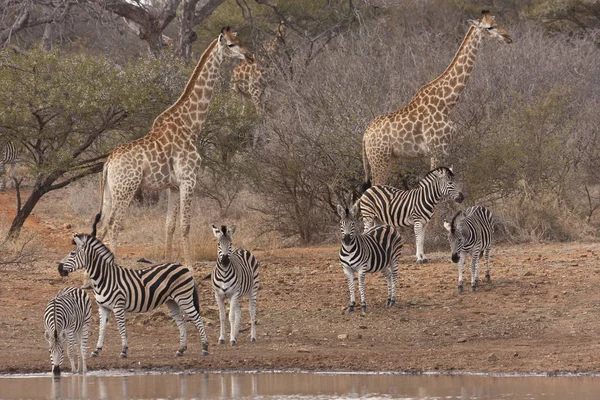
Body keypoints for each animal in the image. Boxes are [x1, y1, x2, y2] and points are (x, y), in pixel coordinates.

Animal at [56, 233, 210, 358]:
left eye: (73, 254)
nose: (59, 268)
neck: (103, 278)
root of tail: (185, 268)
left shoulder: (118, 306)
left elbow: (121, 328)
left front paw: (124, 350)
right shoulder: (103, 307)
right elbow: (102, 329)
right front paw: (96, 350)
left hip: (184, 298)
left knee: (197, 319)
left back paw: (205, 348)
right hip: (172, 301)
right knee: (181, 322)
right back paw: (181, 350)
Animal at [93, 27, 251, 272]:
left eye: (240, 39)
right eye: (231, 44)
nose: (249, 56)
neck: (191, 124)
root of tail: (108, 162)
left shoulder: (173, 186)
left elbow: (169, 226)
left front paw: (168, 265)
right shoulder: (189, 179)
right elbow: (186, 226)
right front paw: (191, 268)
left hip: (110, 191)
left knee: (102, 226)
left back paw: (87, 277)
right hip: (125, 190)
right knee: (113, 225)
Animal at [360, 10, 510, 186]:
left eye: (497, 23)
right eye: (489, 27)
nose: (508, 37)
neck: (447, 102)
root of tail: (365, 136)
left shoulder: (445, 148)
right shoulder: (437, 149)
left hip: (389, 158)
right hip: (379, 159)